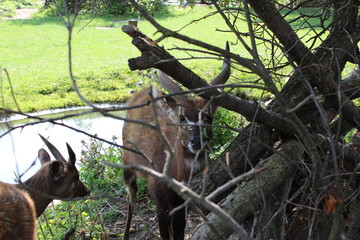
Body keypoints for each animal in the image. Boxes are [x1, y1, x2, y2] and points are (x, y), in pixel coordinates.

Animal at [123, 42, 231, 239]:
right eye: (182, 117)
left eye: (208, 117)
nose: (196, 142)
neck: (176, 172)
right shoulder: (159, 197)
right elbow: (165, 231)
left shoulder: (182, 201)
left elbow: (179, 230)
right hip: (127, 164)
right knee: (130, 196)